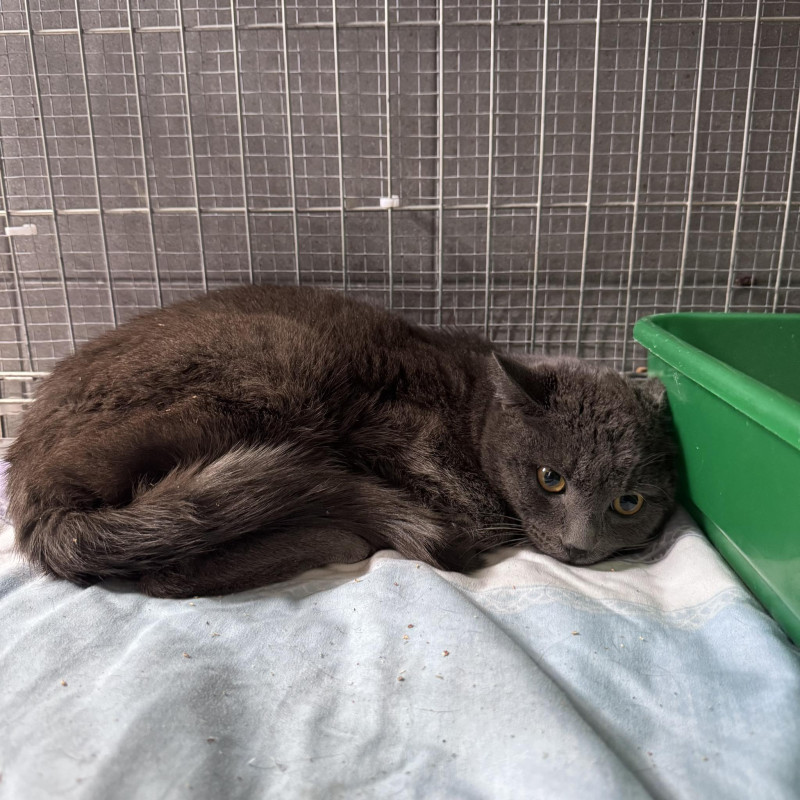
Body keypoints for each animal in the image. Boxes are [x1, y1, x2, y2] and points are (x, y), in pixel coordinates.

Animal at [5, 284, 676, 598]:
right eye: (550, 479)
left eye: (629, 503)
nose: (580, 546)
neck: (469, 411)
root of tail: (29, 488)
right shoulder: (401, 441)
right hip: (273, 371)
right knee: (169, 573)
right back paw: (341, 536)